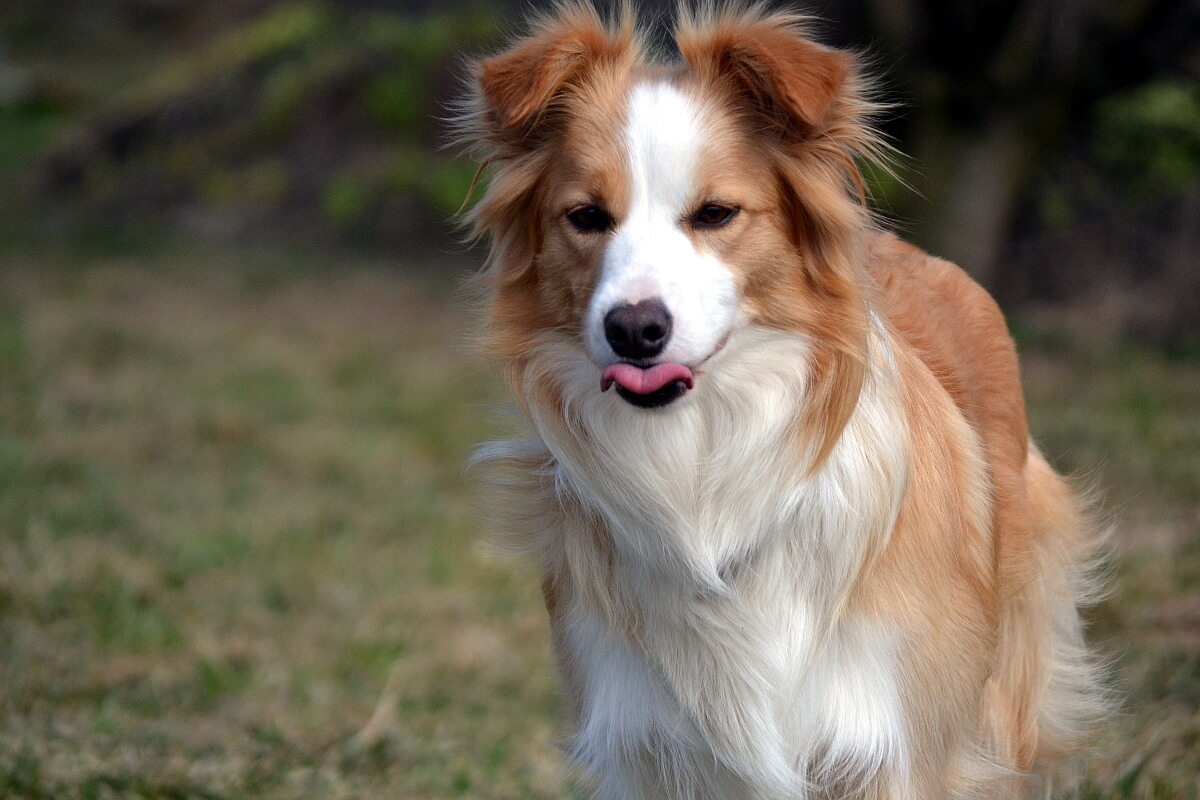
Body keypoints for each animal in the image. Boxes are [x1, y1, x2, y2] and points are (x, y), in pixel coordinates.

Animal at [456, 4, 1104, 796]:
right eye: (586, 217)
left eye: (715, 214)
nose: (634, 329)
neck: (703, 481)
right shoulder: (649, 744)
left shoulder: (899, 746)